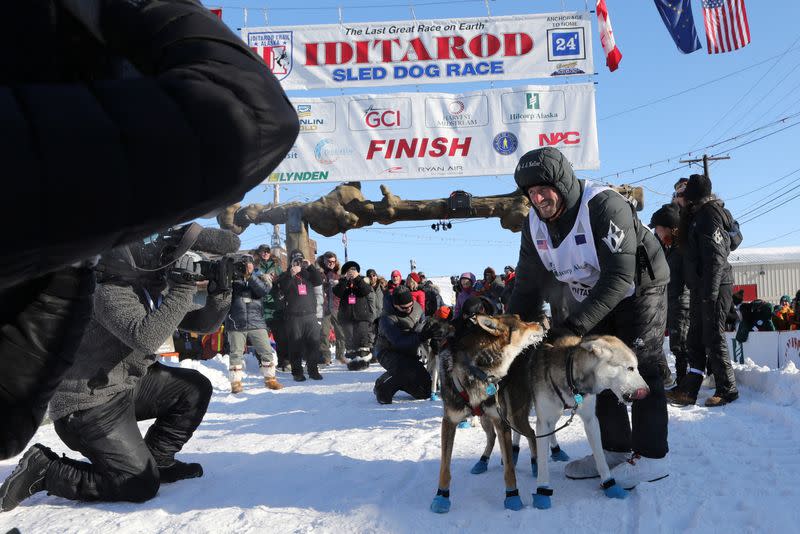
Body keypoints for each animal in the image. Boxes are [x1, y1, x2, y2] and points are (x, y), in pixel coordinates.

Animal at [432, 314, 544, 516]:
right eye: (521, 322)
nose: (541, 323)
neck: (479, 370)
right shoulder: (449, 422)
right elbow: (444, 467)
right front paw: (441, 497)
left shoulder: (501, 422)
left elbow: (509, 469)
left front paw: (513, 497)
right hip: (486, 418)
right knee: (491, 437)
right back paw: (482, 461)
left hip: (514, 416)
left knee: (531, 433)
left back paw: (536, 464)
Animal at [532, 336, 648, 510]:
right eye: (630, 368)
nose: (647, 391)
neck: (572, 381)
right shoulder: (543, 422)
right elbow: (543, 464)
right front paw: (542, 491)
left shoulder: (591, 420)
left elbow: (600, 458)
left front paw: (610, 485)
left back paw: (556, 451)